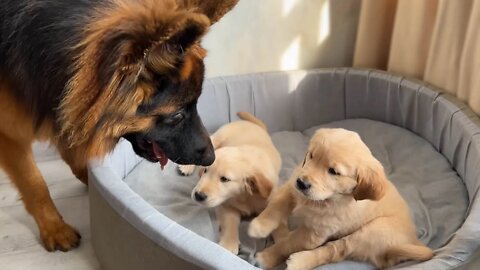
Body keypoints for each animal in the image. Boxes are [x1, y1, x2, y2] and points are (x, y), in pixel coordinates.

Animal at [0, 0, 238, 252]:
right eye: (177, 115)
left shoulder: (65, 114)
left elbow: (76, 159)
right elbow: (34, 183)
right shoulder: (9, 135)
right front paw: (55, 228)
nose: (211, 158)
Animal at [180, 112, 284, 255]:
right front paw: (229, 244)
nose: (198, 195)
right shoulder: (227, 205)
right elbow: (229, 222)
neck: (244, 196)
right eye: (206, 171)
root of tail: (253, 124)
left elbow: (276, 218)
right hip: (218, 138)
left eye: (224, 179)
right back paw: (187, 167)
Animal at [249, 128, 434, 270]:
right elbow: (279, 203)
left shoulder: (313, 234)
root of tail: (412, 240)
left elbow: (287, 244)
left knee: (335, 250)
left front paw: (268, 256)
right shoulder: (294, 183)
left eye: (333, 171)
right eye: (311, 156)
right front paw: (260, 225)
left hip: (372, 232)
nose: (302, 183)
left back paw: (299, 261)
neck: (326, 199)